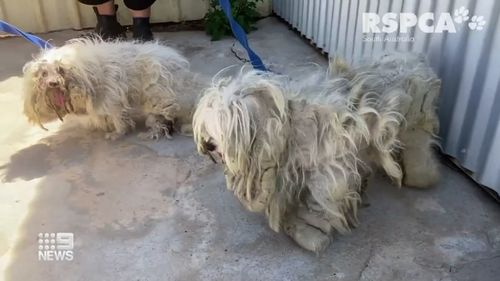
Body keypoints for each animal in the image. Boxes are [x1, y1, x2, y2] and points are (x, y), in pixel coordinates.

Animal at [22, 38, 204, 139]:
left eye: (60, 70)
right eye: (44, 73)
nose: (53, 83)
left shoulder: (112, 98)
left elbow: (117, 118)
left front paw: (117, 133)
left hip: (157, 96)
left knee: (164, 116)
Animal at [193, 53, 440, 252]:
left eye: (223, 126)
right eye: (206, 126)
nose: (208, 145)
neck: (286, 125)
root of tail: (417, 59)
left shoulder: (328, 170)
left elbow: (320, 201)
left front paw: (313, 234)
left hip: (413, 124)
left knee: (418, 150)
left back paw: (421, 178)